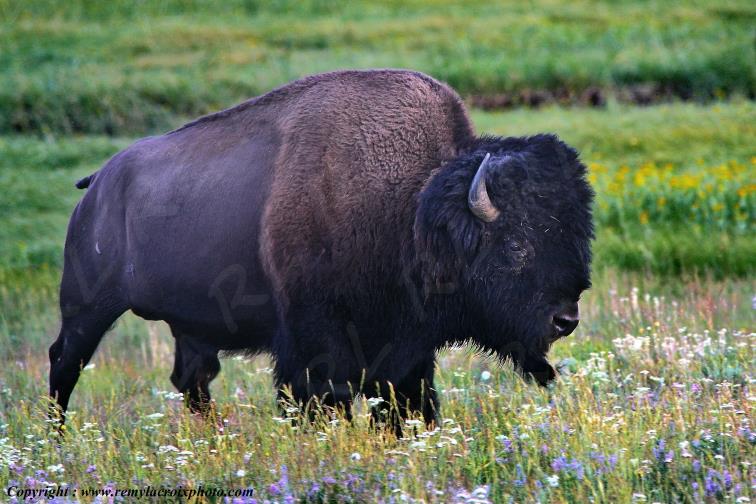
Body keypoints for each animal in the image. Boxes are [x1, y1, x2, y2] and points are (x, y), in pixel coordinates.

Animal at [49, 69, 593, 429]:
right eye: (517, 244)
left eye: (575, 234)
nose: (565, 319)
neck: (410, 205)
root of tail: (99, 184)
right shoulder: (314, 340)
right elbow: (319, 399)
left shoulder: (406, 351)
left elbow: (406, 403)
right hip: (87, 307)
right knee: (65, 362)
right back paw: (57, 438)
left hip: (189, 327)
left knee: (193, 379)